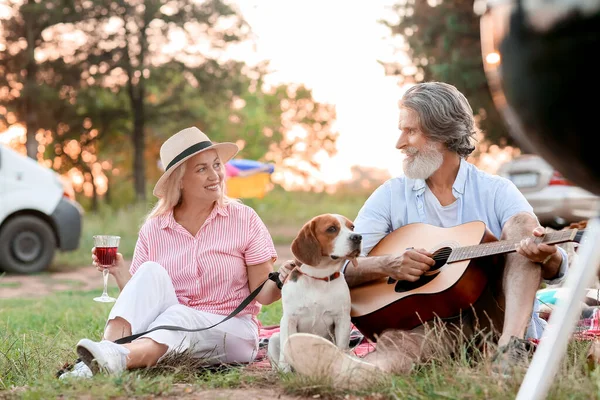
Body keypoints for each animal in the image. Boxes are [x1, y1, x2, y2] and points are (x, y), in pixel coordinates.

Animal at [268, 212, 360, 372]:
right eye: (331, 229)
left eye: (352, 227)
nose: (358, 237)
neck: (319, 278)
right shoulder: (289, 319)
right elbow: (286, 348)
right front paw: (285, 371)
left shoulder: (342, 319)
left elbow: (342, 346)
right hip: (273, 338)